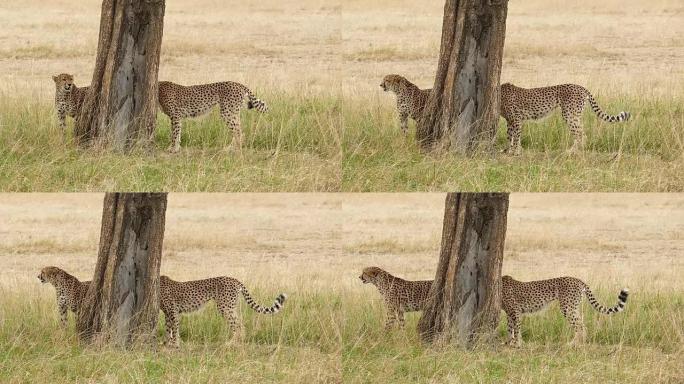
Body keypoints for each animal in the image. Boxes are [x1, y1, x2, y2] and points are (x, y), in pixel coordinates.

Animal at [502, 83, 632, 155]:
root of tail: (581, 87)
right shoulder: (511, 121)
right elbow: (511, 136)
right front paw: (511, 150)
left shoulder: (516, 119)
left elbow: (515, 136)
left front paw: (514, 152)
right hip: (574, 115)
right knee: (581, 132)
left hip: (569, 115)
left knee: (581, 134)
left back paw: (573, 151)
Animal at [502, 274, 632, 346]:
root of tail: (578, 280)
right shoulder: (509, 313)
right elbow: (510, 328)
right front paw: (509, 342)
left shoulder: (516, 312)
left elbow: (516, 329)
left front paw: (517, 343)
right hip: (574, 308)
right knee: (582, 324)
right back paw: (580, 342)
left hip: (567, 308)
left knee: (580, 326)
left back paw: (574, 344)